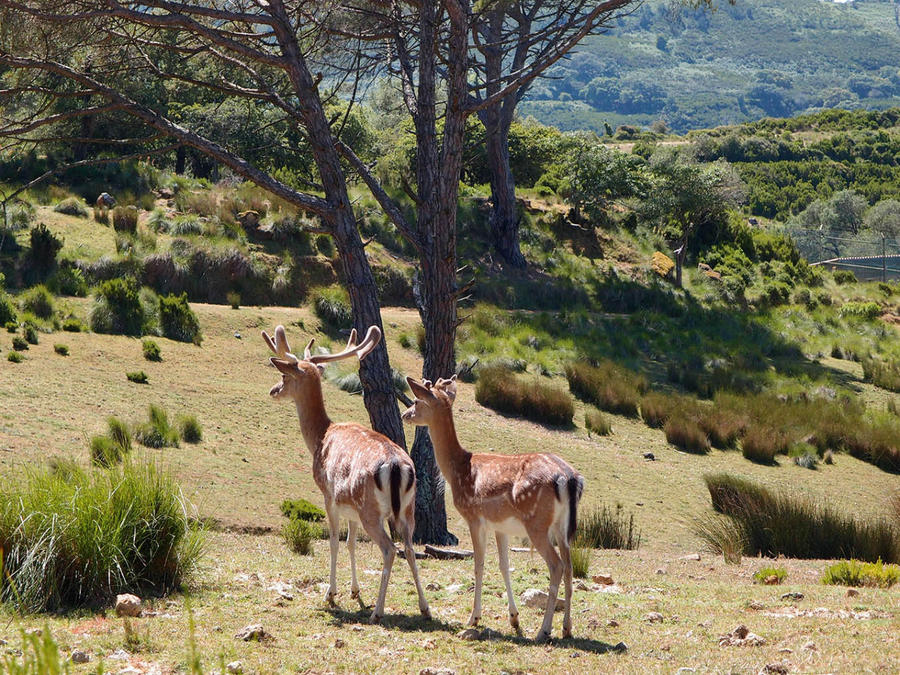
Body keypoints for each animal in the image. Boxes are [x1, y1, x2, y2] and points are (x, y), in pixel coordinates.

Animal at [262, 324, 430, 624]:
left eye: (284, 375)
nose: (273, 390)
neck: (320, 437)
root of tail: (396, 467)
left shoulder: (329, 495)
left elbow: (334, 542)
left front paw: (330, 594)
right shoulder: (350, 508)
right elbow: (351, 543)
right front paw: (354, 591)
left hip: (370, 510)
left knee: (390, 549)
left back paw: (377, 611)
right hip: (406, 510)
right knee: (410, 548)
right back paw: (425, 608)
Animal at [400, 378, 584, 640]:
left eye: (417, 401)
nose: (405, 414)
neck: (457, 471)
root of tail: (568, 479)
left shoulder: (474, 518)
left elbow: (478, 565)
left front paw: (474, 618)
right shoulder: (500, 526)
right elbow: (504, 566)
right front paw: (514, 619)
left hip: (537, 523)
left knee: (556, 566)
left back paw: (544, 630)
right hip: (562, 527)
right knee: (569, 567)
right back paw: (567, 628)